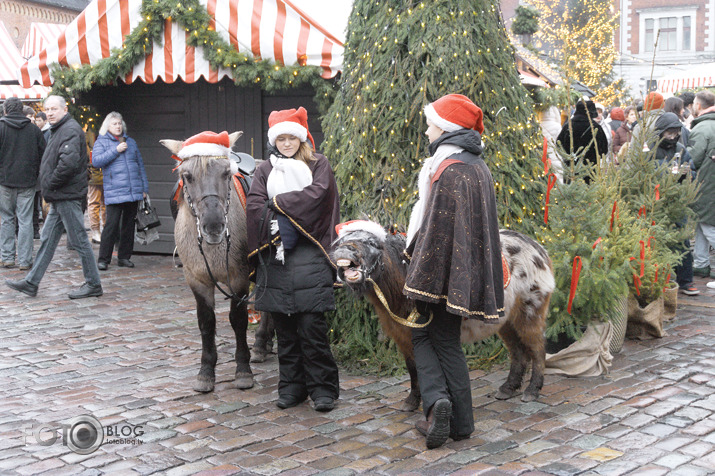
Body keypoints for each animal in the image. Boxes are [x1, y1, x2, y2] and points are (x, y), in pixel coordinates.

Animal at [162, 132, 255, 392]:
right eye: (187, 176)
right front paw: (206, 371)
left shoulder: (239, 278)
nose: (213, 226)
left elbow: (238, 319)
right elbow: (206, 322)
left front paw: (243, 369)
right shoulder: (197, 280)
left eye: (226, 173)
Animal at [330, 223, 552, 412]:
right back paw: (508, 388)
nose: (345, 251)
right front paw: (412, 402)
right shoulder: (403, 336)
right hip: (506, 321)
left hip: (530, 314)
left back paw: (532, 391)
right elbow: (413, 369)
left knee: (538, 349)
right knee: (518, 352)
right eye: (340, 243)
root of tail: (539, 249)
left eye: (372, 243)